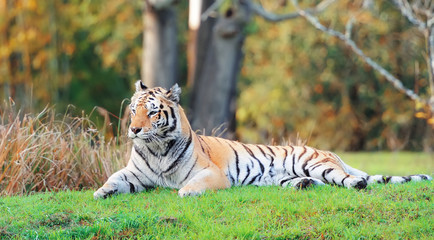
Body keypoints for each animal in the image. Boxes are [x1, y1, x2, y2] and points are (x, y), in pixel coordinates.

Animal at [93, 80, 432, 199]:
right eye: (133, 110)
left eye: (152, 113)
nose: (134, 130)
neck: (157, 148)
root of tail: (331, 152)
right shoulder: (135, 173)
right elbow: (114, 179)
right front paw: (102, 191)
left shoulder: (211, 173)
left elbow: (191, 185)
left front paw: (185, 192)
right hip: (284, 177)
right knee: (317, 183)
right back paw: (304, 186)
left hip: (316, 163)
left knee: (347, 179)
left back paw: (357, 183)